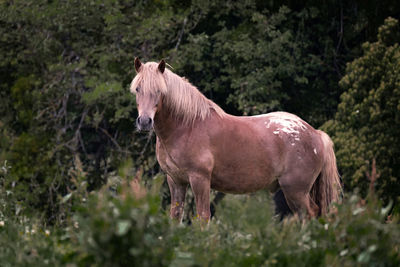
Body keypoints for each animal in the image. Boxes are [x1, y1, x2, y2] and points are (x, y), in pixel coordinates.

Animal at [130, 58, 342, 222]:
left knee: (309, 215)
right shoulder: (175, 181)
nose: (145, 121)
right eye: (138, 89)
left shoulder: (200, 179)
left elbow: (203, 217)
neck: (187, 127)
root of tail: (315, 133)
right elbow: (175, 216)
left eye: (159, 90)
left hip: (296, 191)